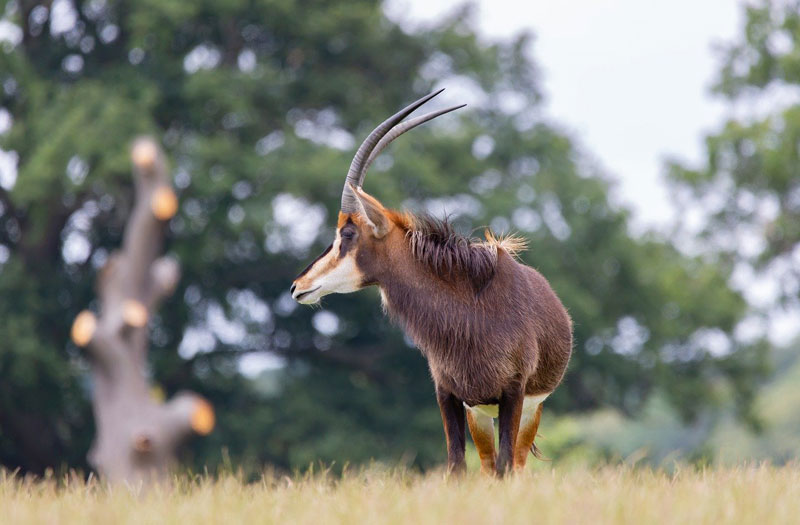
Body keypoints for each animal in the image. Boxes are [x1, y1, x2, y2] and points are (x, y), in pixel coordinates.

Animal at [290, 90, 572, 474]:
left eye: (347, 233)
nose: (298, 286)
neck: (472, 309)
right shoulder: (449, 395)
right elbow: (456, 466)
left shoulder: (512, 394)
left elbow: (504, 466)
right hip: (479, 414)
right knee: (487, 464)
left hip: (530, 408)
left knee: (513, 464)